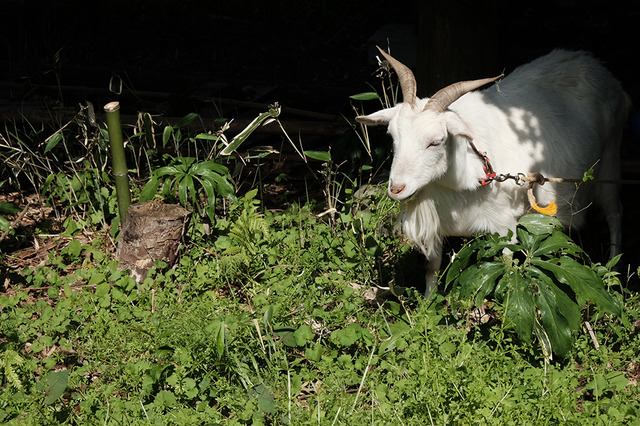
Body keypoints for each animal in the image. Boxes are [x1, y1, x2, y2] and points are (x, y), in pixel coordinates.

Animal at [358, 47, 632, 296]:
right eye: (393, 136)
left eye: (435, 141)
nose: (396, 188)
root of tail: (595, 65)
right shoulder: (438, 224)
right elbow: (432, 267)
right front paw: (426, 305)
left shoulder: (505, 225)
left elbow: (507, 265)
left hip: (610, 160)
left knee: (615, 213)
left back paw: (614, 272)